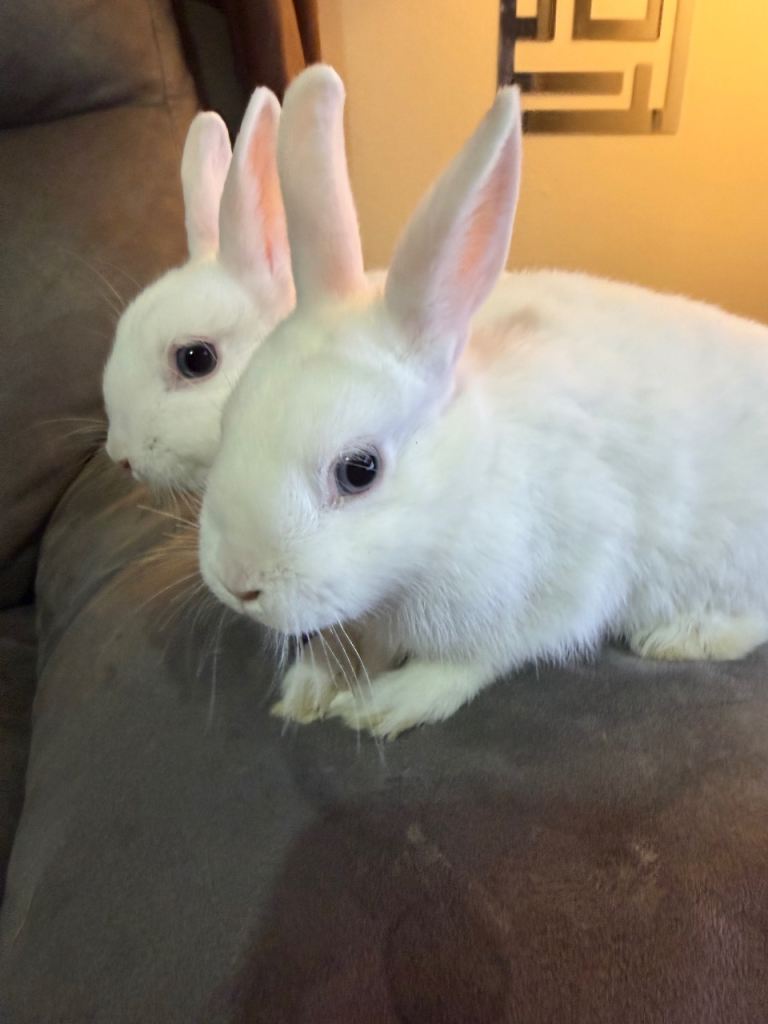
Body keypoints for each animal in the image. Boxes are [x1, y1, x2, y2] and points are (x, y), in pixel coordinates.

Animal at [198, 64, 768, 739]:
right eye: (228, 420)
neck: (462, 492)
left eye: (359, 471)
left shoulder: (556, 588)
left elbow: (472, 661)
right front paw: (313, 685)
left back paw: (683, 637)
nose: (238, 584)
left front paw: (386, 704)